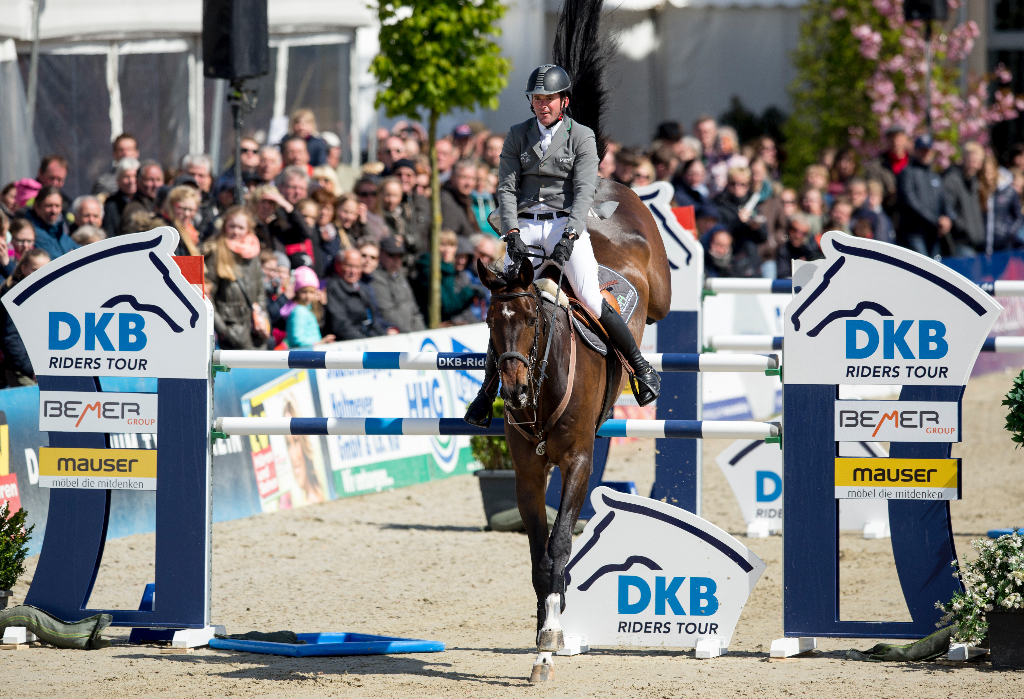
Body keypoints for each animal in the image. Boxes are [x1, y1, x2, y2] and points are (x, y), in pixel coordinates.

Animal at [477, 177, 671, 681]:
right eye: (490, 322)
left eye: (531, 320)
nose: (514, 390)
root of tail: (606, 186)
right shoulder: (528, 473)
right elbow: (539, 557)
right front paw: (547, 630)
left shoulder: (579, 461)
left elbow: (561, 544)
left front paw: (548, 643)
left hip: (659, 290)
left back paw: (646, 375)